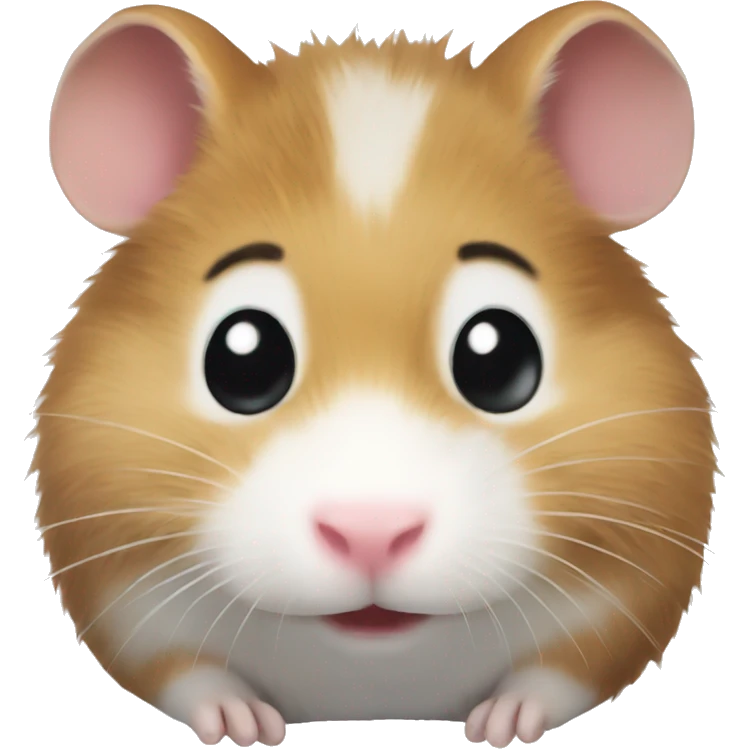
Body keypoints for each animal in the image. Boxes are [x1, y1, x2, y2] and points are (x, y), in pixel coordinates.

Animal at [38, 2, 711, 746]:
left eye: (498, 355)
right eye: (243, 357)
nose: (371, 531)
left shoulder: (638, 582)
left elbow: (566, 668)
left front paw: (505, 721)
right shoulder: (117, 592)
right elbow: (183, 670)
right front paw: (240, 723)